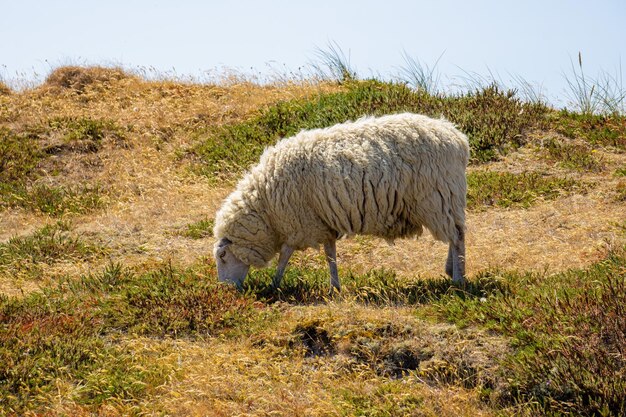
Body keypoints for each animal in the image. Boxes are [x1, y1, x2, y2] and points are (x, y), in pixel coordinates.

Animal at [212, 112, 466, 290]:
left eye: (222, 256)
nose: (226, 290)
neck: (266, 208)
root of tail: (456, 137)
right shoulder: (321, 222)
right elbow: (329, 254)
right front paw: (335, 286)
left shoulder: (299, 223)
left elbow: (286, 255)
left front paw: (275, 284)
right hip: (447, 198)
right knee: (457, 233)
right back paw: (452, 270)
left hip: (437, 197)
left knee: (456, 237)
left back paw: (458, 279)